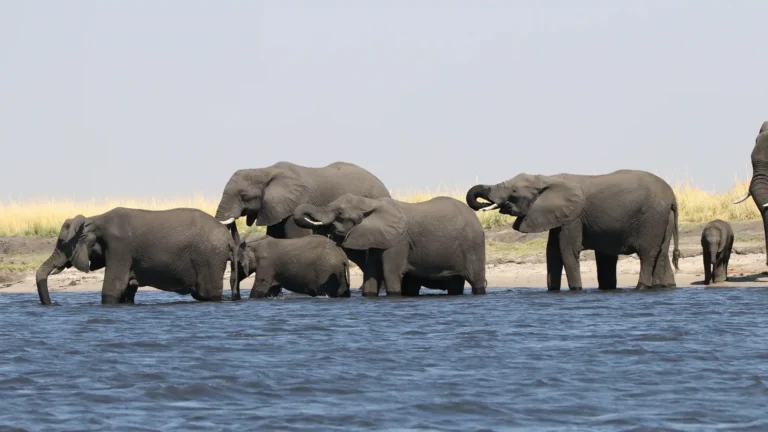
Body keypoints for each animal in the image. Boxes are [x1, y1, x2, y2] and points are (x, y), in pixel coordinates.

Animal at [35, 207, 239, 305]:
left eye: (61, 242)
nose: (53, 303)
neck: (94, 219)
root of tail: (228, 239)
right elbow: (127, 291)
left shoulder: (119, 249)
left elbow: (112, 289)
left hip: (210, 258)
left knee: (207, 293)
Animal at [293, 194, 487, 297]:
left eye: (339, 213)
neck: (371, 203)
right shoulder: (377, 239)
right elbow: (371, 275)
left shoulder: (399, 241)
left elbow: (391, 273)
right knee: (455, 284)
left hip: (473, 245)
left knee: (476, 280)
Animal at [466, 169, 680, 291]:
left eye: (513, 192)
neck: (548, 179)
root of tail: (672, 196)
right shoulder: (558, 215)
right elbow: (552, 253)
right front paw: (552, 290)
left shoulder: (573, 217)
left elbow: (567, 251)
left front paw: (576, 289)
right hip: (664, 219)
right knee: (661, 254)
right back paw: (665, 286)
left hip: (652, 218)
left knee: (648, 254)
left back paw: (642, 287)